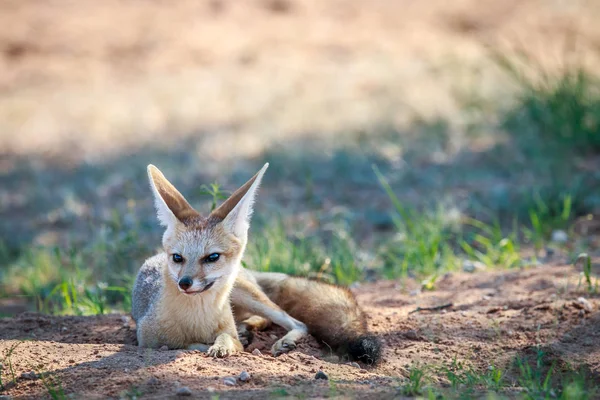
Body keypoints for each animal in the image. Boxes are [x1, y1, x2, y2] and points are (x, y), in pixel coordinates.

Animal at [133, 162, 382, 362]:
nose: (184, 283)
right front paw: (215, 343)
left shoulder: (225, 329)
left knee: (296, 322)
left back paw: (277, 338)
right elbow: (186, 344)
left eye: (212, 257)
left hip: (248, 295)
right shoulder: (147, 340)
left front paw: (223, 345)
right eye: (178, 257)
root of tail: (248, 271)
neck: (198, 318)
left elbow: (227, 338)